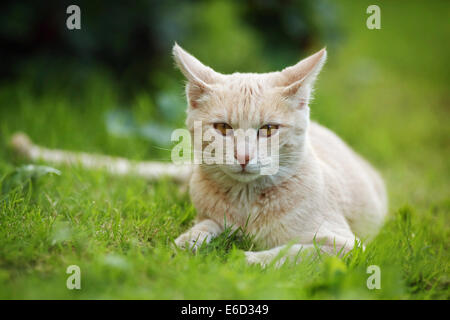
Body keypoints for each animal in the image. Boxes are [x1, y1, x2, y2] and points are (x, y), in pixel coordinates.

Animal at [12, 43, 388, 266]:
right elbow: (204, 226)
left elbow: (290, 253)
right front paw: (186, 243)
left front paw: (243, 258)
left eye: (268, 129)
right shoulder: (209, 214)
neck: (245, 203)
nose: (243, 156)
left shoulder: (346, 246)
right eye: (222, 128)